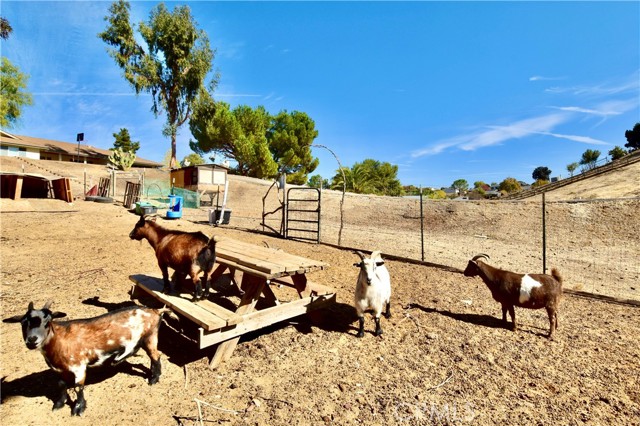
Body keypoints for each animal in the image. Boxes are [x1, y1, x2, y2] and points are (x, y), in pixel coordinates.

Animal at [4, 302, 170, 416]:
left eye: (47, 322)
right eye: (23, 323)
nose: (32, 340)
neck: (59, 342)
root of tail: (156, 310)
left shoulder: (79, 366)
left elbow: (78, 387)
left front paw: (79, 408)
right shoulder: (59, 370)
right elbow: (61, 384)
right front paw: (59, 404)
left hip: (149, 337)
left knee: (155, 355)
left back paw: (153, 378)